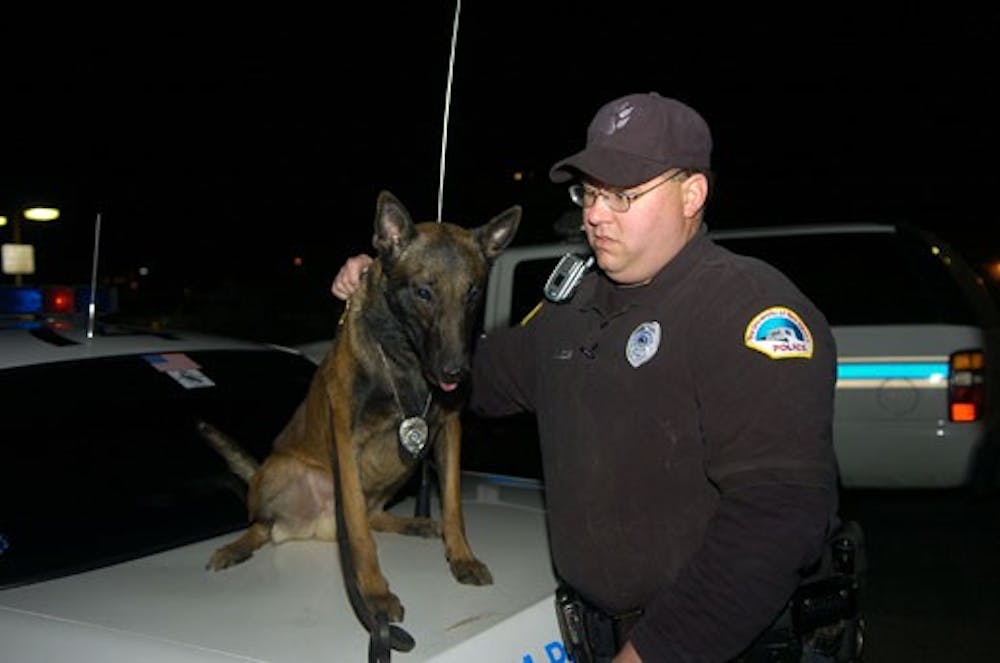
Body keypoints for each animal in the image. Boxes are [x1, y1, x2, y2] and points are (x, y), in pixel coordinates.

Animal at [199, 191, 520, 624]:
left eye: (472, 294)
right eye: (424, 292)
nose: (456, 372)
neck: (404, 360)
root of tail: (316, 526)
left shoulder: (448, 432)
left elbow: (453, 506)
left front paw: (462, 558)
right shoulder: (346, 445)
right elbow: (358, 532)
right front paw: (373, 593)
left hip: (403, 466)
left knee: (372, 515)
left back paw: (414, 523)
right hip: (281, 470)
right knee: (267, 526)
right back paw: (236, 546)